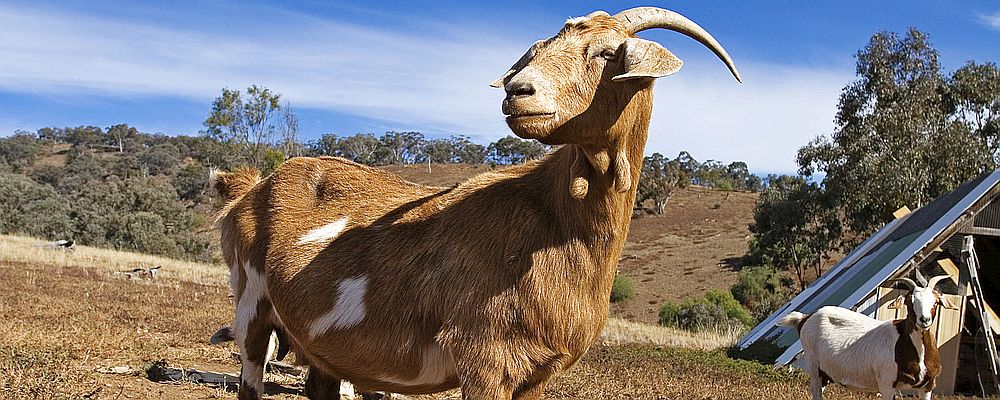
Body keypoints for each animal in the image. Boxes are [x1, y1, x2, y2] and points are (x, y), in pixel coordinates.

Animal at [212, 7, 740, 400]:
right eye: (537, 50)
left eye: (609, 53)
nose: (518, 91)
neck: (556, 222)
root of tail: (249, 188)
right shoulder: (486, 360)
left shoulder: (536, 373)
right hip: (251, 303)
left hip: (320, 345)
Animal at [778, 275, 957, 400]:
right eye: (909, 302)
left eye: (935, 302)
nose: (924, 320)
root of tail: (804, 318)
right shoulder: (886, 384)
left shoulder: (927, 386)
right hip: (814, 367)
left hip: (825, 374)